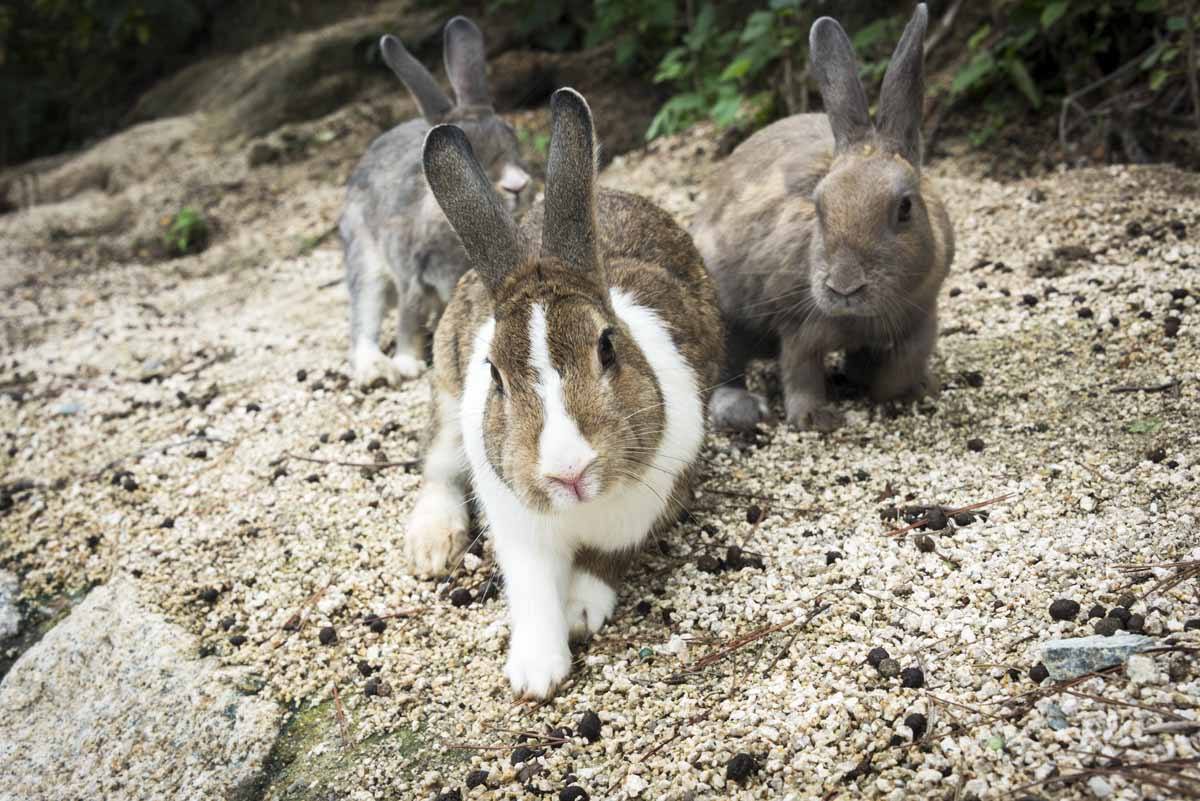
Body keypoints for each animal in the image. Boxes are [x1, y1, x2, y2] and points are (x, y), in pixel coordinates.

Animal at [336, 14, 528, 383]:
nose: (518, 185)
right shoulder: (411, 278)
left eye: (512, 138)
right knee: (363, 318)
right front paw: (407, 364)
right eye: (470, 151)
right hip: (364, 259)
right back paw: (376, 370)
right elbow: (407, 319)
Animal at [696, 3, 955, 431]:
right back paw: (744, 408)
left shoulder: (922, 317)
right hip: (725, 317)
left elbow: (902, 365)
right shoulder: (799, 326)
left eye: (905, 208)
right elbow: (801, 371)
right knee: (725, 370)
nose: (844, 287)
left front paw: (908, 392)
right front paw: (815, 418)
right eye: (818, 207)